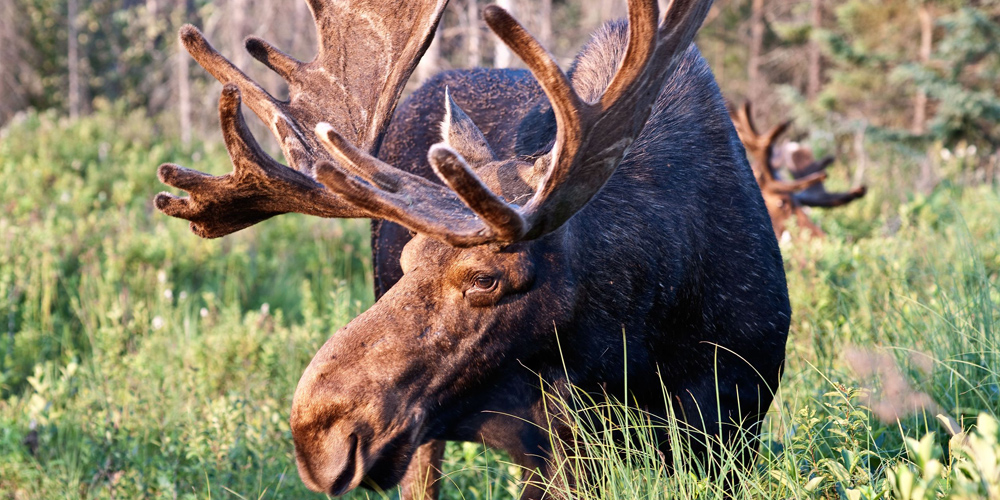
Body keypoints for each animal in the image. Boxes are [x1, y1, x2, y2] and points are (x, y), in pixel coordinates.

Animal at [154, 0, 788, 498]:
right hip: (427, 443)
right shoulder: (565, 449)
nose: (317, 431)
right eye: (407, 260)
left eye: (485, 278)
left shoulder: (737, 429)